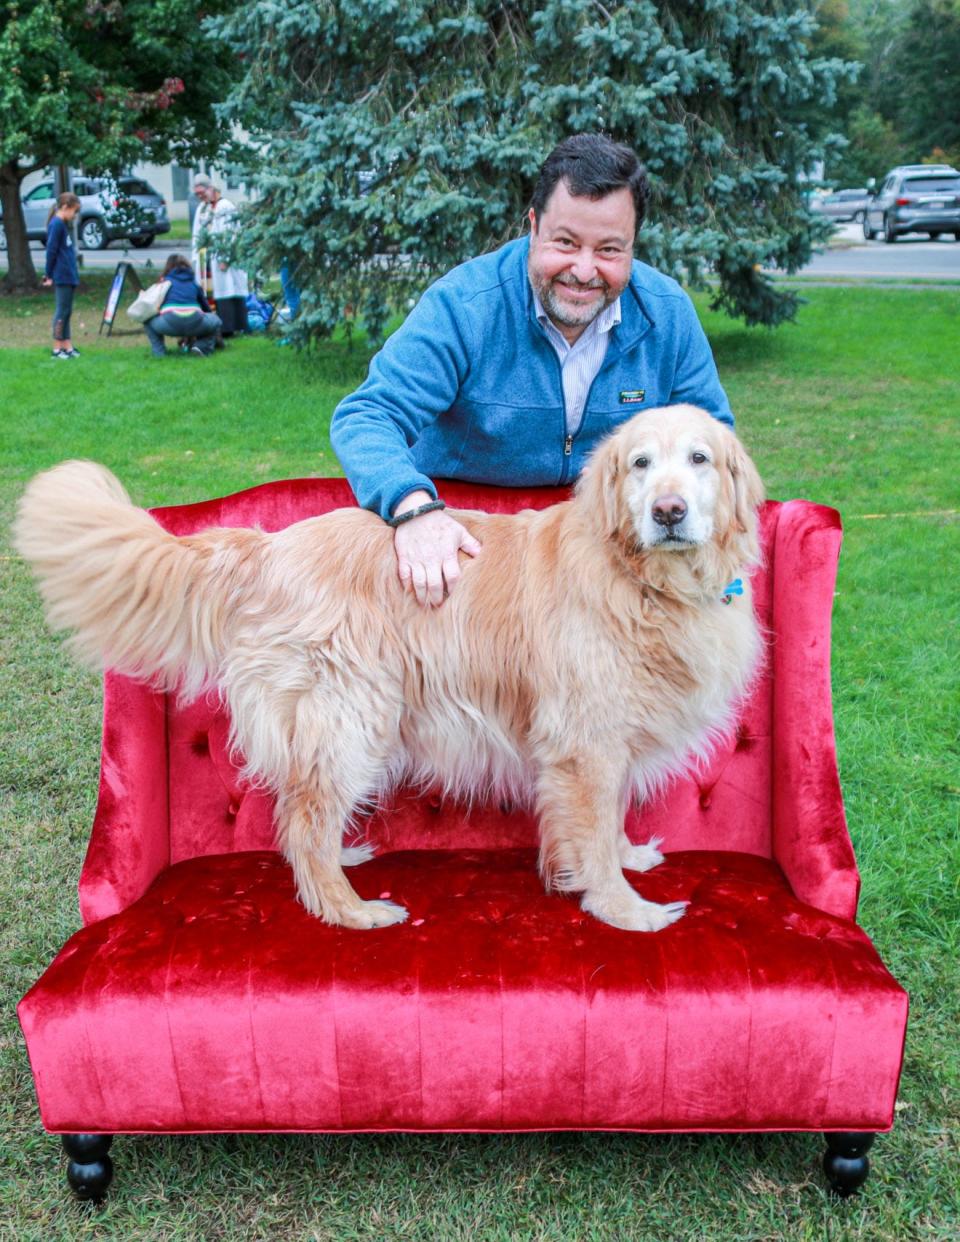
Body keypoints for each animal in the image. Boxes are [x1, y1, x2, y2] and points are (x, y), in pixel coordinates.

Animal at [14, 404, 760, 933]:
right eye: (639, 464)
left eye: (699, 459)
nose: (669, 511)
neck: (644, 583)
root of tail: (269, 546)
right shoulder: (586, 743)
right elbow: (594, 834)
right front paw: (624, 909)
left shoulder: (611, 738)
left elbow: (611, 818)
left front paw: (628, 858)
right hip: (353, 716)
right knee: (305, 816)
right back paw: (349, 909)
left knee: (297, 814)